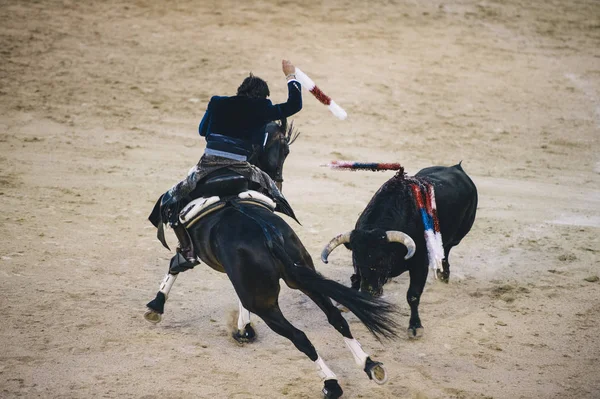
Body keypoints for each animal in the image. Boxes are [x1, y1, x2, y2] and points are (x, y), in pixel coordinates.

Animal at [144, 119, 398, 399]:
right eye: (284, 149)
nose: (278, 180)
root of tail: (268, 234)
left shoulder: (198, 256)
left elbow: (176, 265)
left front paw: (156, 307)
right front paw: (244, 328)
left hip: (265, 303)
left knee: (300, 337)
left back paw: (331, 383)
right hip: (302, 277)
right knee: (336, 317)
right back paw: (369, 364)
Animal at [322, 164, 476, 340]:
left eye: (382, 259)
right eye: (356, 259)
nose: (369, 292)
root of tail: (456, 167)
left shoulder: (420, 264)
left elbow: (413, 295)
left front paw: (415, 326)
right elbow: (355, 277)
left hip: (457, 235)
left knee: (446, 250)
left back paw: (443, 274)